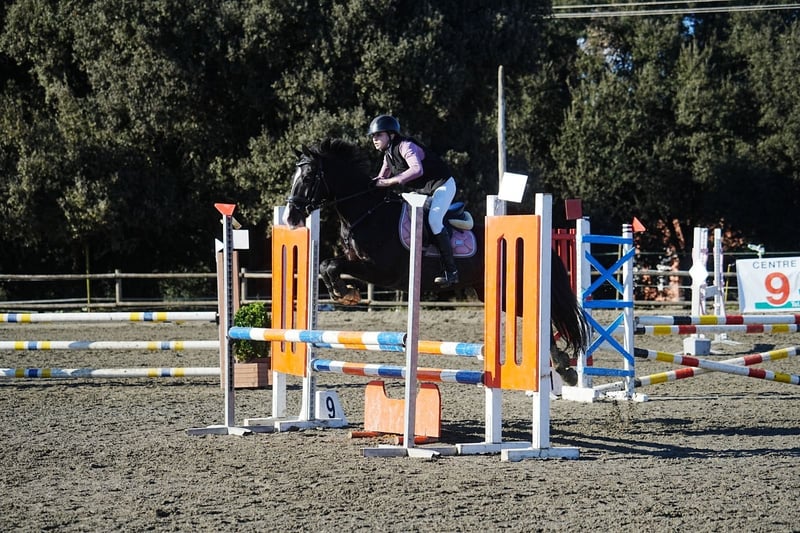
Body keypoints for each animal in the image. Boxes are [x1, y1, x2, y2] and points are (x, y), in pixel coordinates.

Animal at [282, 138, 588, 385]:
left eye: (308, 177)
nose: (290, 218)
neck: (367, 211)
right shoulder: (359, 263)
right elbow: (326, 265)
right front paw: (343, 293)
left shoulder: (380, 271)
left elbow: (332, 266)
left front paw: (346, 293)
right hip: (493, 293)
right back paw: (564, 368)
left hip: (513, 290)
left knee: (544, 315)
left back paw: (564, 368)